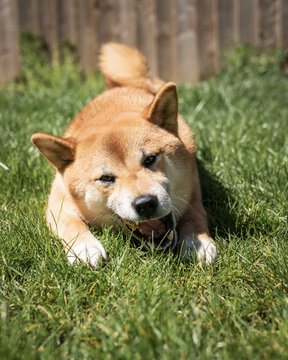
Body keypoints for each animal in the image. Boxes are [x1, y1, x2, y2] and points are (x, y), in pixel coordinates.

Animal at [31, 43, 216, 268]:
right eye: (106, 178)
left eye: (150, 159)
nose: (145, 203)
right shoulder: (58, 200)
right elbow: (70, 222)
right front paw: (84, 247)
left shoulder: (193, 186)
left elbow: (194, 213)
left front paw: (196, 241)